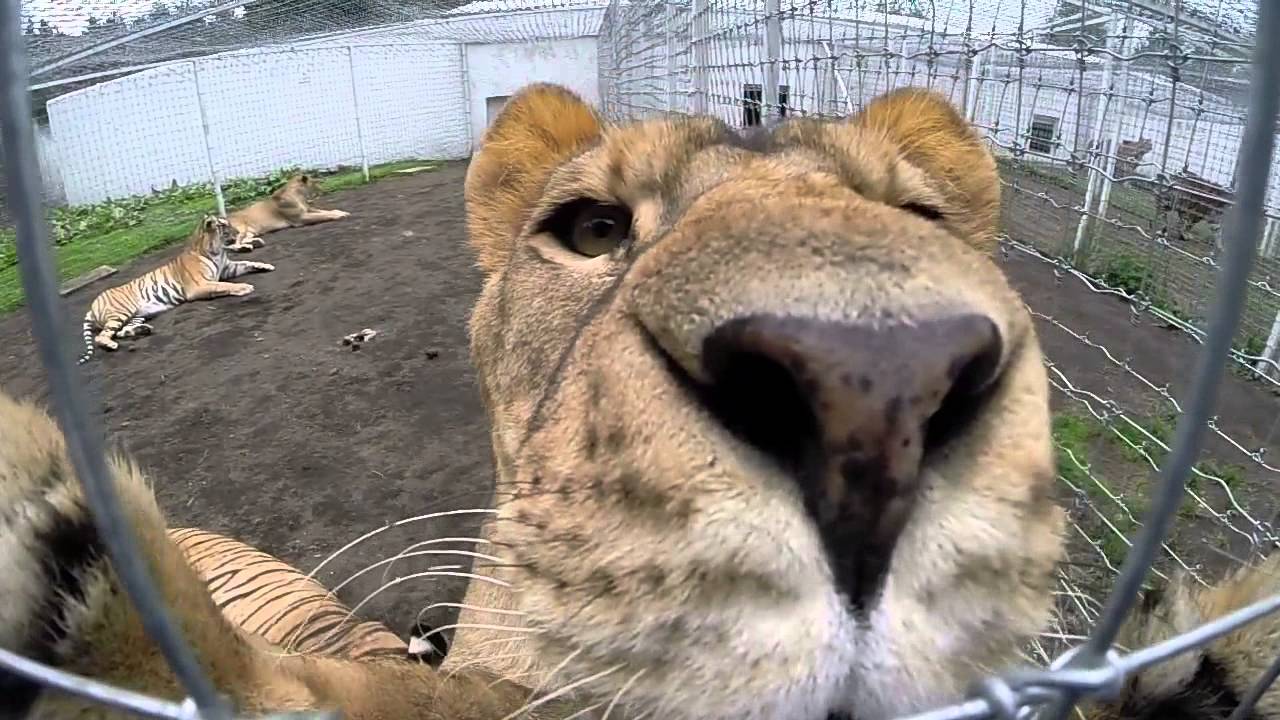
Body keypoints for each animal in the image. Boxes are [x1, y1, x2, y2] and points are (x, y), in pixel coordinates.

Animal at [77, 215, 274, 364]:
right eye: (224, 226)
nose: (239, 233)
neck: (217, 252)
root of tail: (91, 307)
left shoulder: (227, 268)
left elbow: (247, 263)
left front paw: (265, 266)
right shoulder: (200, 285)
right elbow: (224, 285)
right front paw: (245, 287)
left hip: (136, 315)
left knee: (120, 331)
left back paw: (143, 330)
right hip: (122, 311)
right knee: (102, 336)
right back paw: (111, 345)